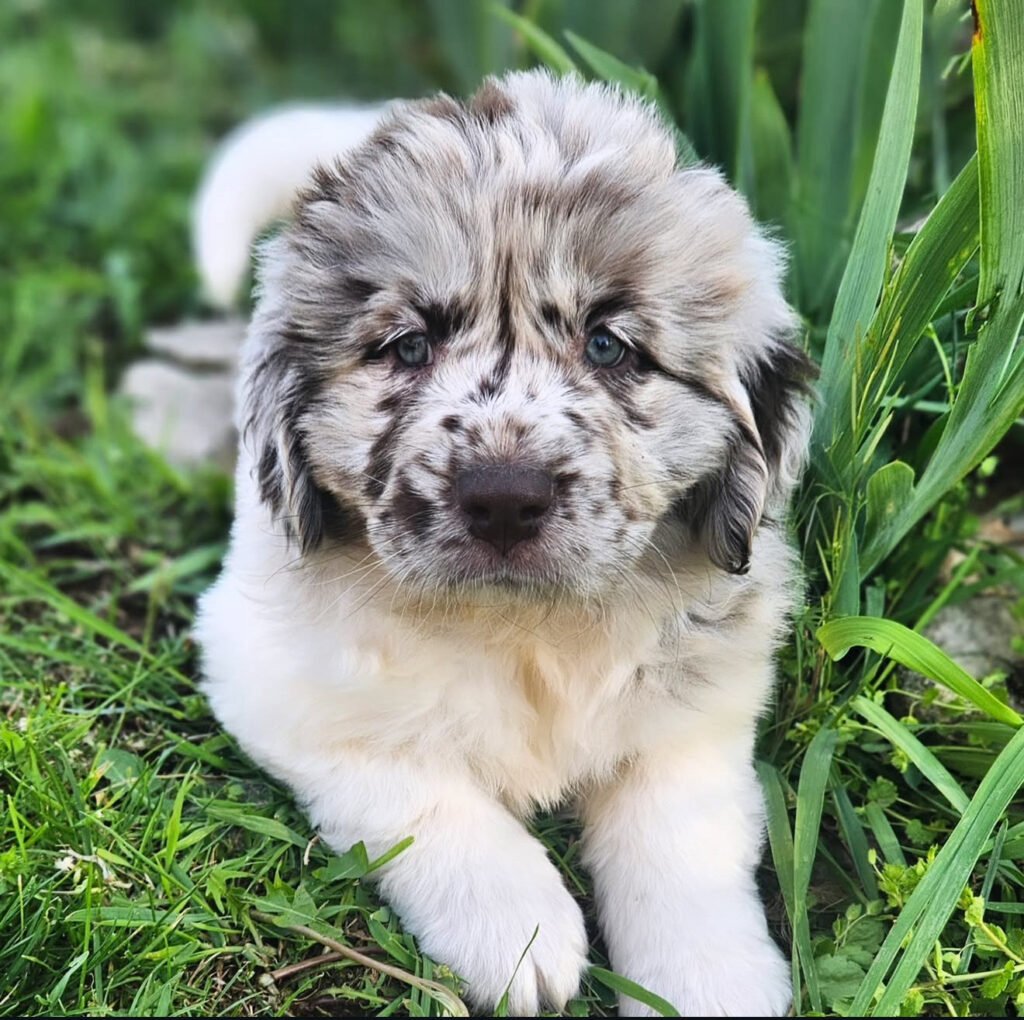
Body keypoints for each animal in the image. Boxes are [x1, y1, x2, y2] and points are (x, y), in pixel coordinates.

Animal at [195, 70, 814, 1017]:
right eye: (409, 346)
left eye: (609, 346)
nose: (503, 498)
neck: (527, 632)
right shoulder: (274, 681)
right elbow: (416, 789)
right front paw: (520, 933)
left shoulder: (703, 701)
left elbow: (680, 835)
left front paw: (709, 981)